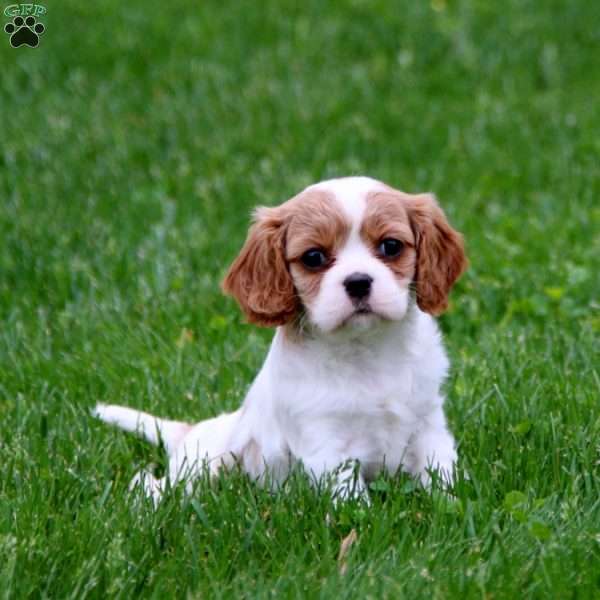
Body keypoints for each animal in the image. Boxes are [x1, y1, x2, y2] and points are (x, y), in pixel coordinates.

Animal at [94, 177, 468, 502]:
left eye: (390, 246)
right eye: (314, 257)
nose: (359, 282)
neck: (366, 347)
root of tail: (193, 430)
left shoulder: (429, 428)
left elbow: (442, 476)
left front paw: (450, 508)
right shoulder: (328, 448)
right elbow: (352, 501)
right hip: (198, 469)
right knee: (155, 484)